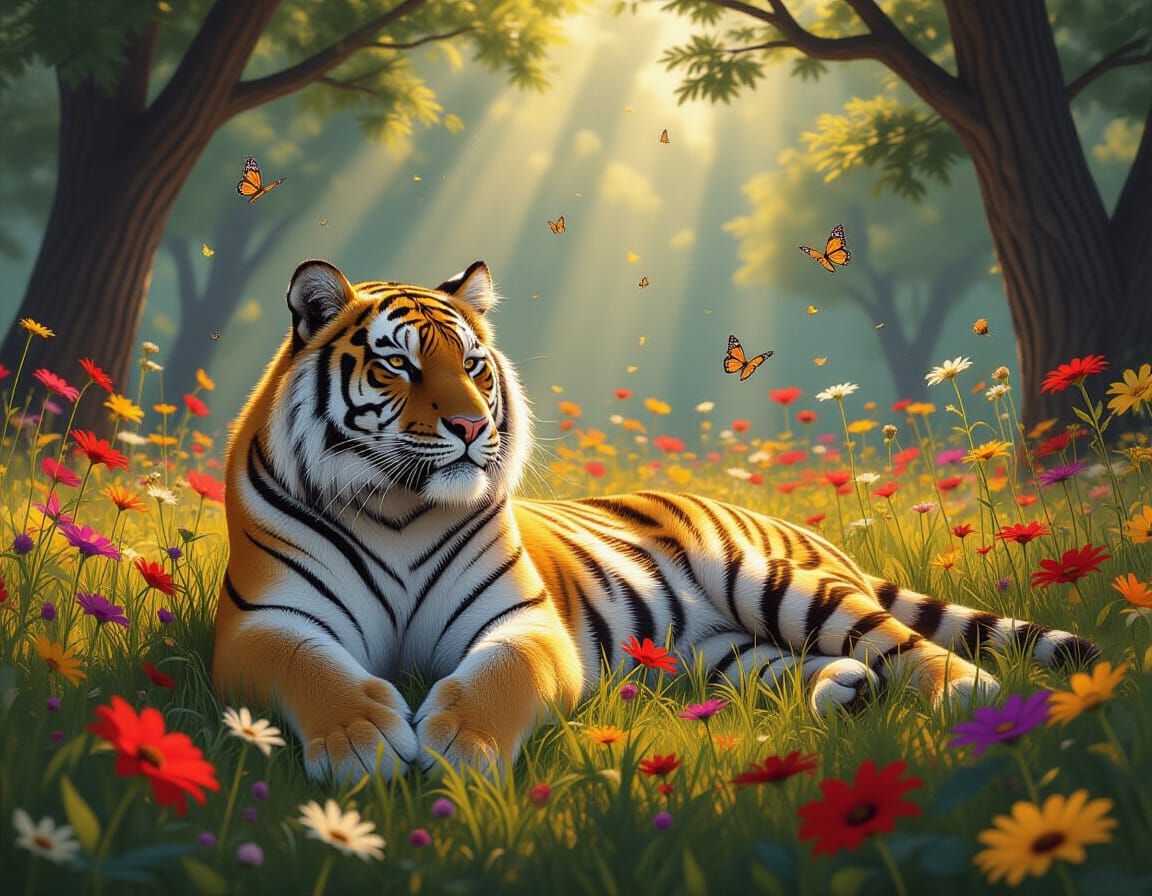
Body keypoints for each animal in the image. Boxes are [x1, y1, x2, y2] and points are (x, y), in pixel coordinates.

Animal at [212, 259, 1098, 783]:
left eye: (470, 364)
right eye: (397, 363)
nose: (469, 427)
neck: (397, 505)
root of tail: (807, 533)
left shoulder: (522, 622)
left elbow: (499, 675)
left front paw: (461, 749)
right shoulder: (263, 622)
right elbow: (312, 666)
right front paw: (359, 744)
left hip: (773, 583)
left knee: (903, 642)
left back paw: (971, 699)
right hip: (718, 650)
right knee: (796, 665)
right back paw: (844, 692)